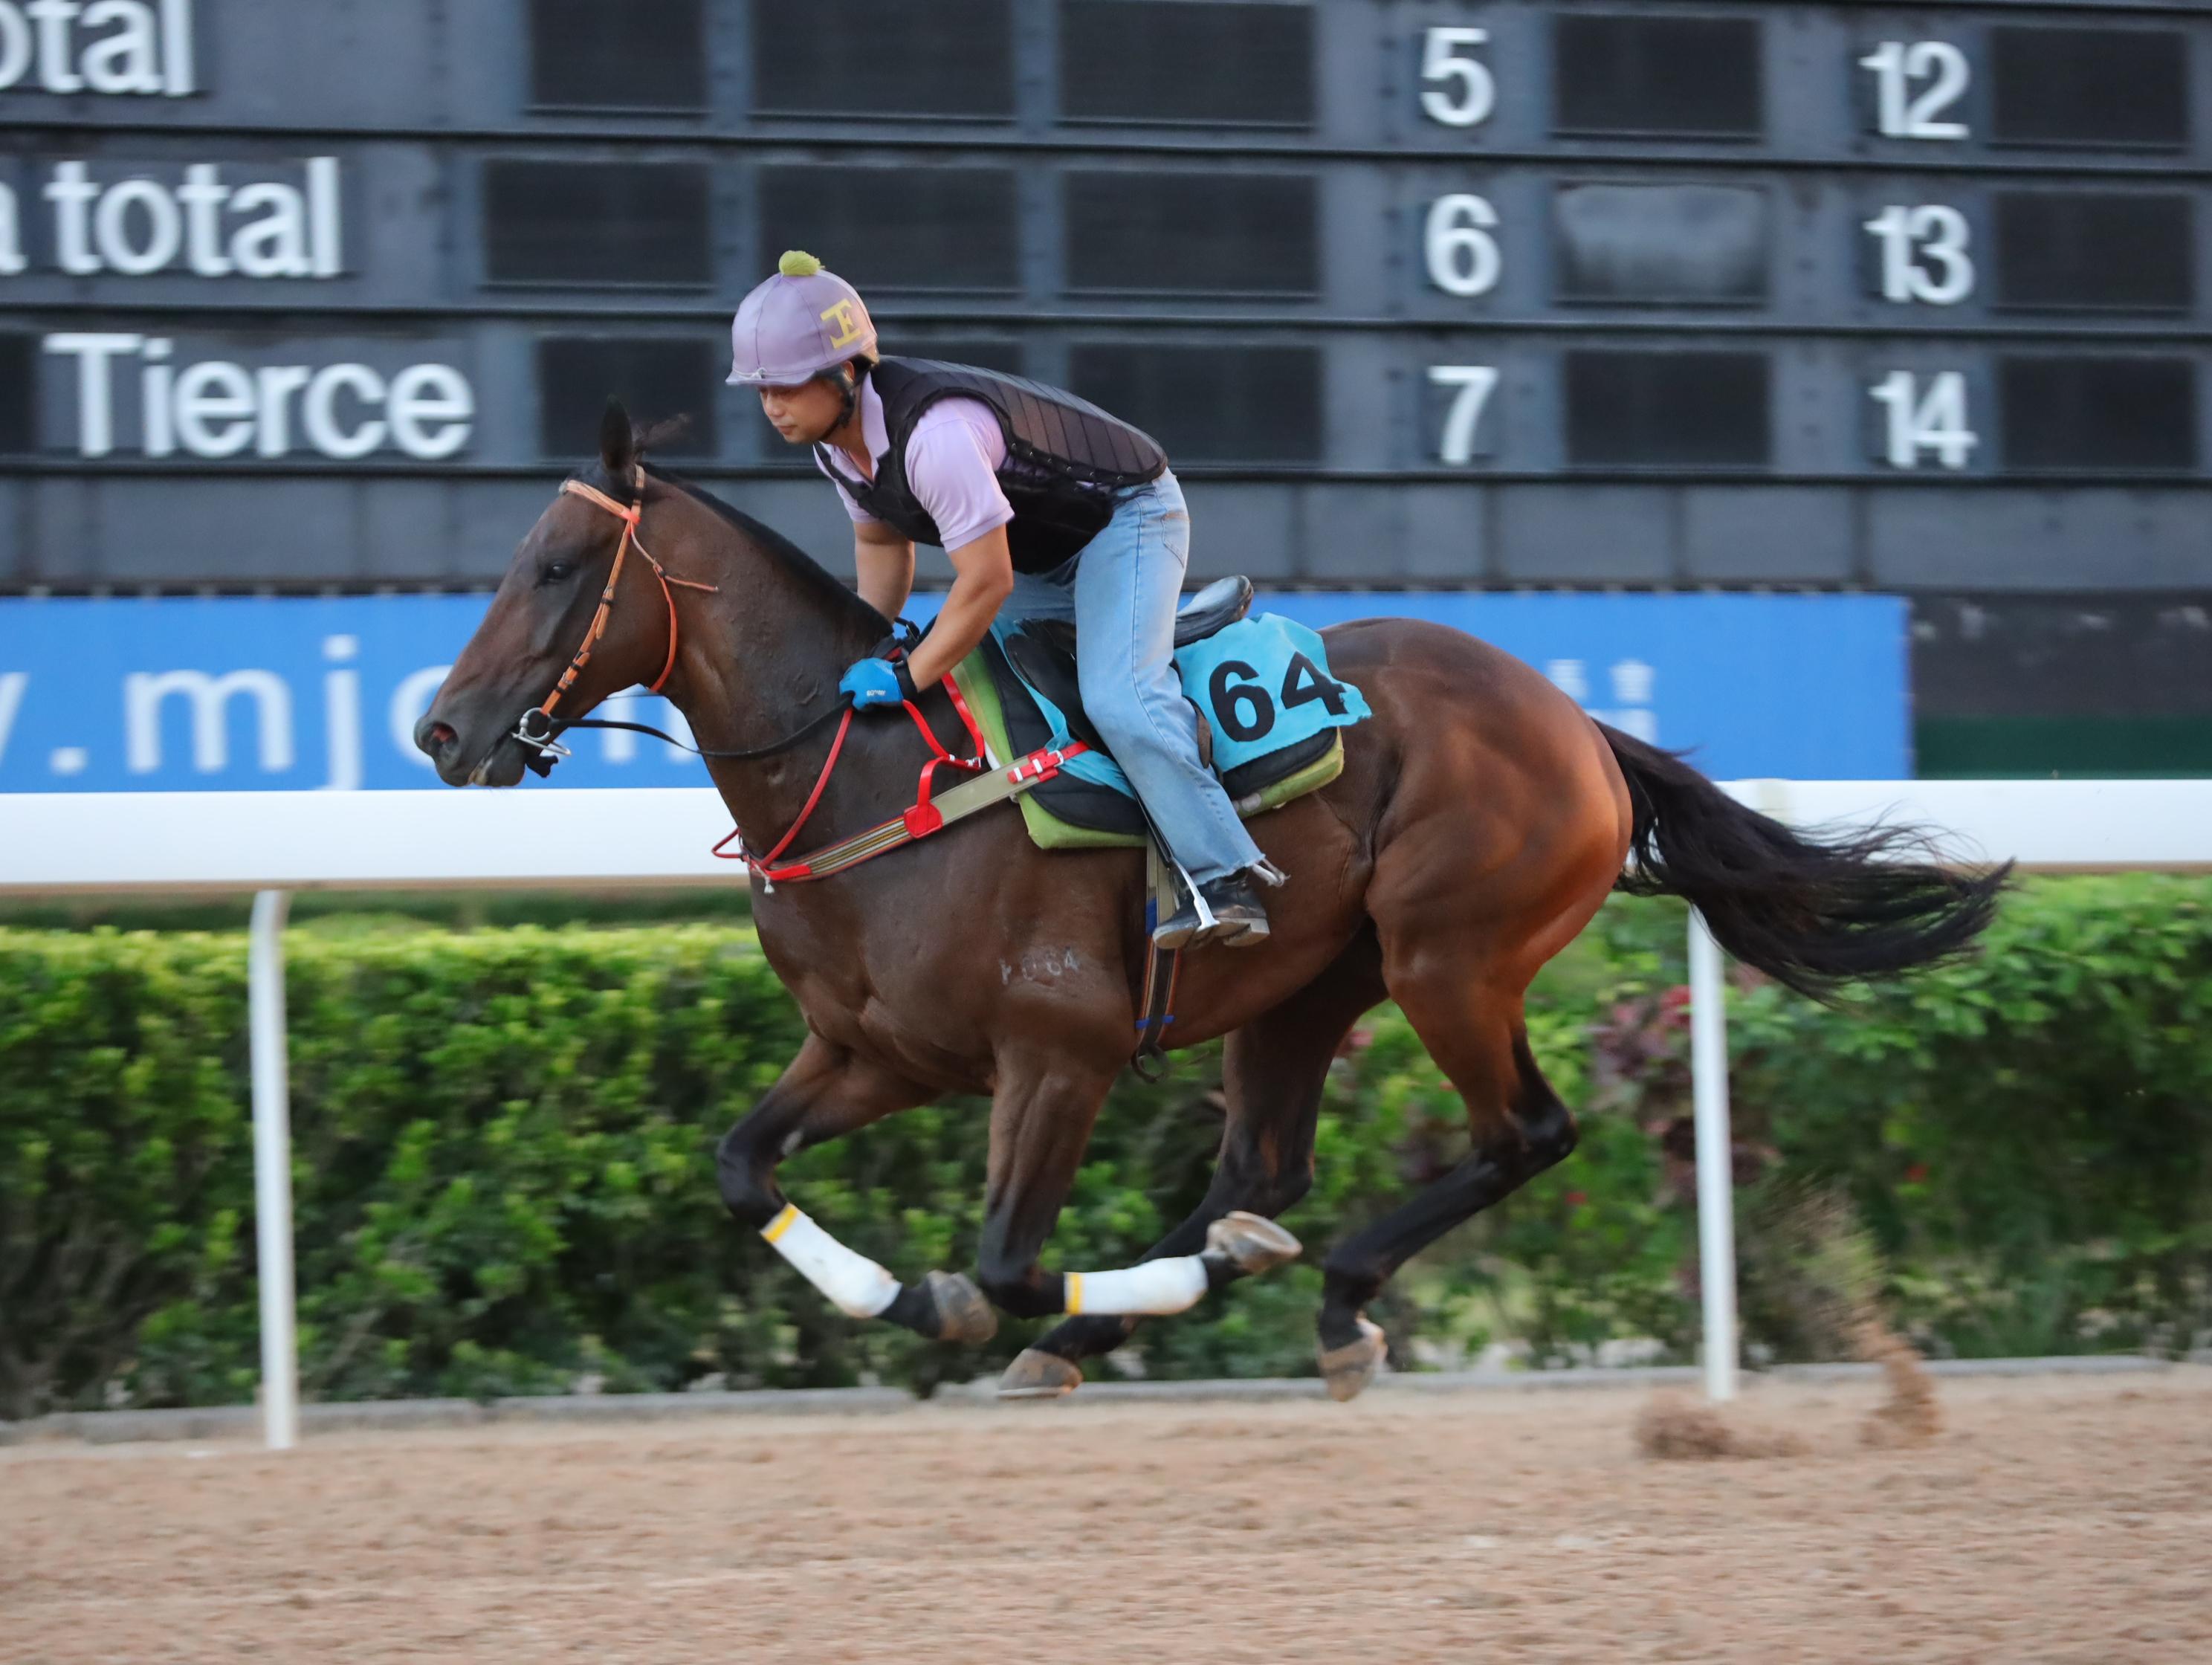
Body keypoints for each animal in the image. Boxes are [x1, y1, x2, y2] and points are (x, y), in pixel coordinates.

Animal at [415, 409, 2008, 1397]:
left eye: (555, 566)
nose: (441, 731)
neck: (873, 768)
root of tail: (1574, 722)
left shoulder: (1056, 1051)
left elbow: (1003, 1261)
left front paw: (966, 1302)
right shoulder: (876, 1050)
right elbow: (744, 1167)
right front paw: (910, 1301)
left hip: (1450, 956)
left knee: (1522, 1136)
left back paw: (1323, 1294)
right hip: (1308, 986)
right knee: (1264, 1168)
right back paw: (1198, 1292)